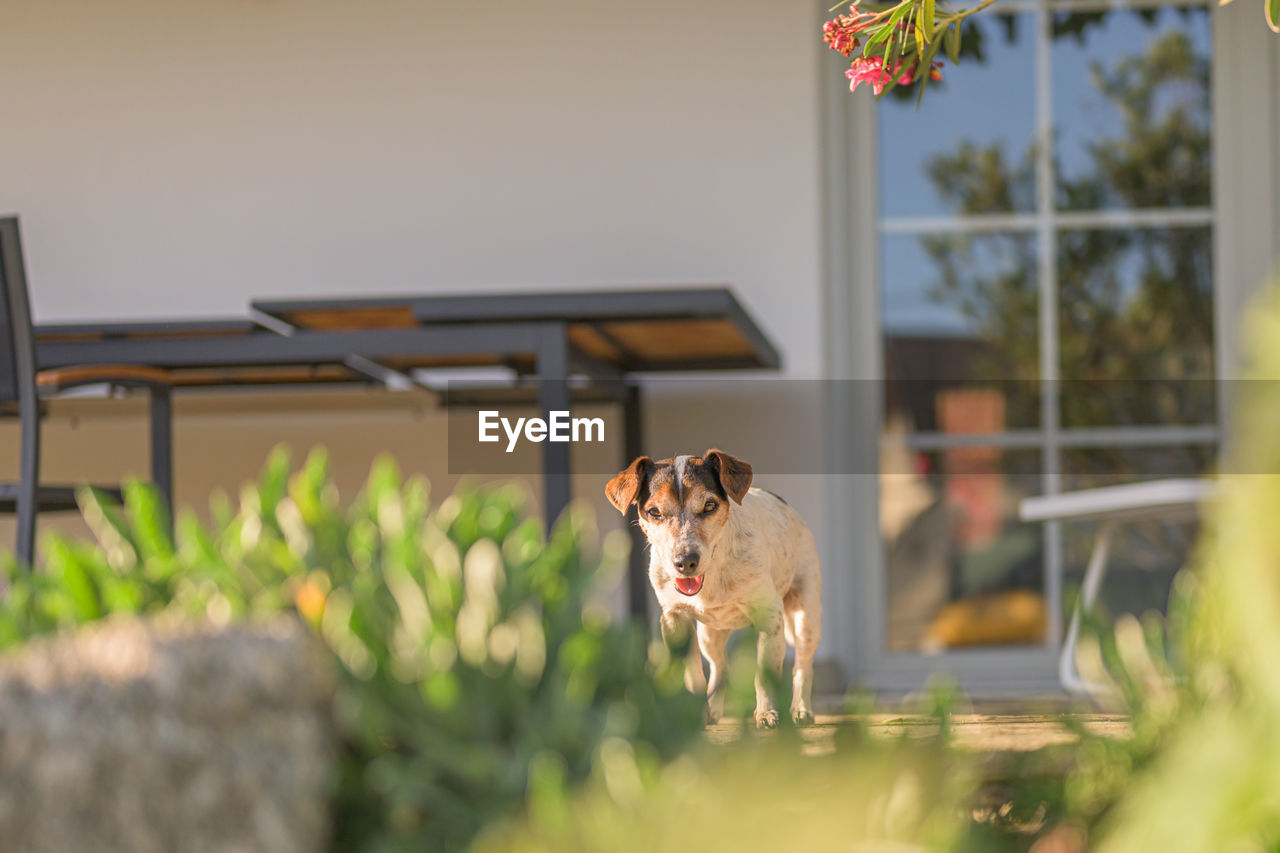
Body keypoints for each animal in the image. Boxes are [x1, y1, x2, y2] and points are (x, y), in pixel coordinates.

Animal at [606, 445, 824, 722]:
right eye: (654, 511)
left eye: (709, 505)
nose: (685, 561)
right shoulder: (674, 618)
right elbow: (692, 672)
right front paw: (694, 712)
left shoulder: (769, 615)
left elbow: (764, 675)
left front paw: (766, 713)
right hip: (709, 634)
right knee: (720, 667)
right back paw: (712, 710)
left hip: (806, 617)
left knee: (803, 666)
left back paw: (801, 708)